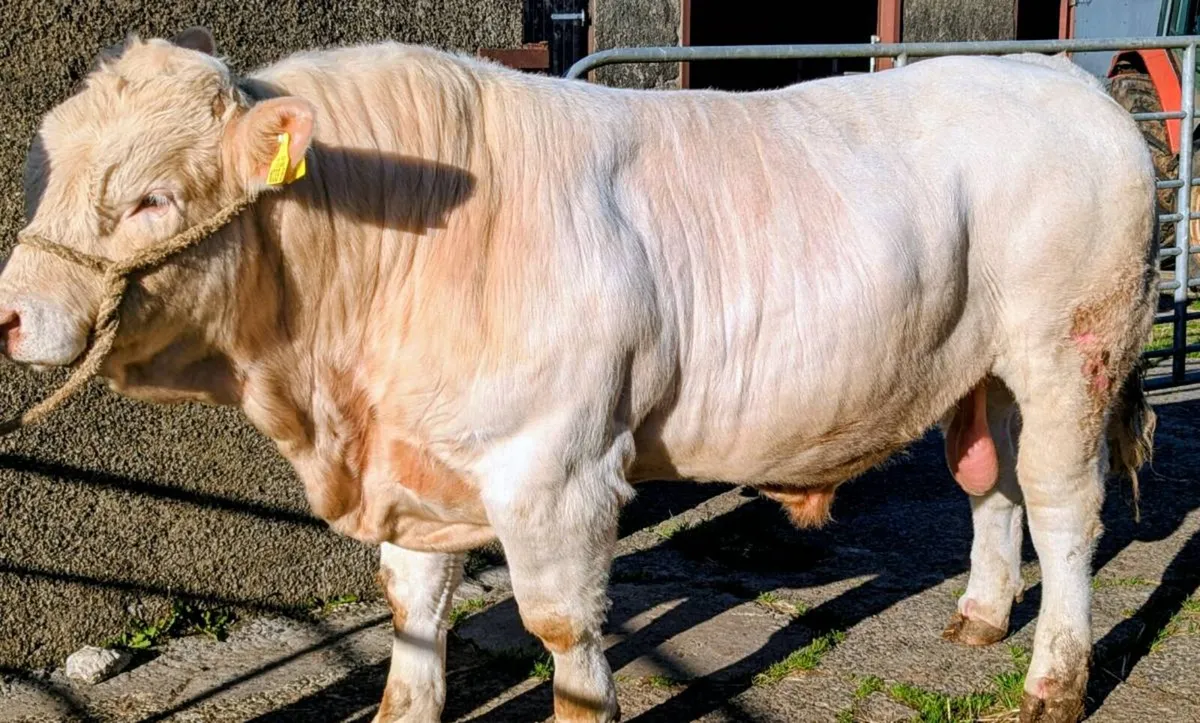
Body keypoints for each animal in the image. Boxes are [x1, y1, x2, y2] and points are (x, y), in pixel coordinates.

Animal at [0, 27, 1157, 723]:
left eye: (150, 198)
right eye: (43, 172)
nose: (9, 311)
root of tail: (1057, 75)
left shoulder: (556, 470)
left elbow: (561, 627)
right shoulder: (416, 465)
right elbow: (412, 607)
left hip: (1069, 354)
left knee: (1064, 509)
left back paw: (1053, 678)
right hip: (983, 369)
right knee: (993, 488)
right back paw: (980, 614)